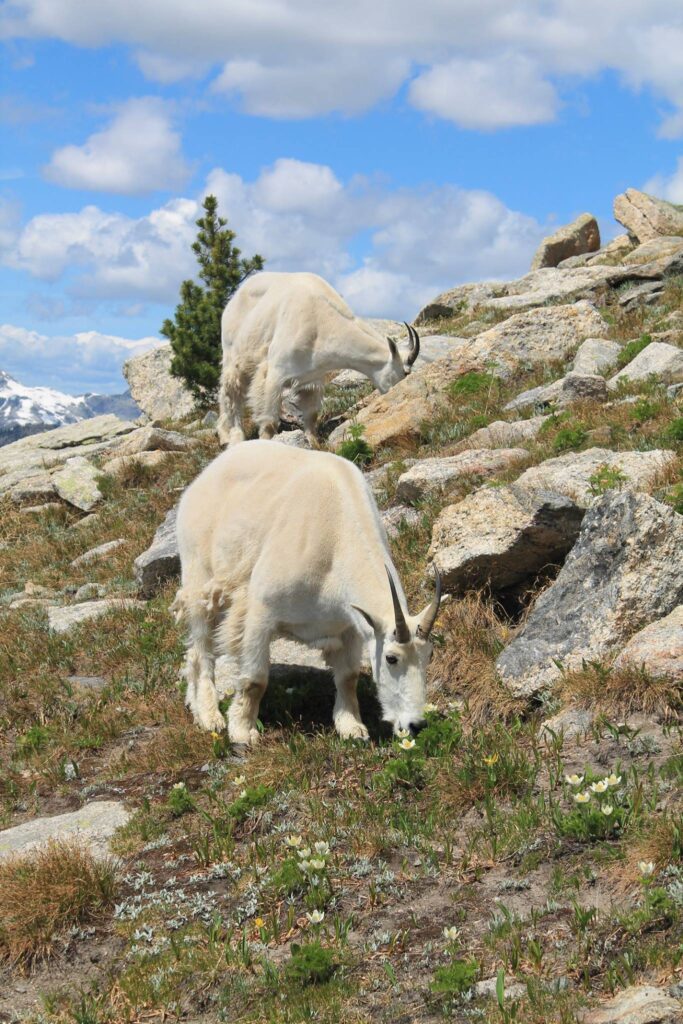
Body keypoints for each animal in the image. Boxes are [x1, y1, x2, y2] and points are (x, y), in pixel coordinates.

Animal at [175, 440, 444, 745]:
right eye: (391, 658)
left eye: (429, 655)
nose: (416, 724)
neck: (335, 542)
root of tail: (203, 476)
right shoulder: (261, 612)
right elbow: (256, 679)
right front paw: (243, 731)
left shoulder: (351, 625)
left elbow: (348, 676)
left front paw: (351, 727)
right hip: (198, 575)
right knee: (201, 650)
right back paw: (209, 717)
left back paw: (194, 706)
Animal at [216, 270, 419, 446]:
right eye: (404, 372)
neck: (322, 323)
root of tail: (234, 299)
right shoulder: (275, 373)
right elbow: (269, 420)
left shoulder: (313, 378)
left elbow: (311, 414)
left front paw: (314, 442)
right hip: (233, 356)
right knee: (230, 393)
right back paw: (230, 436)